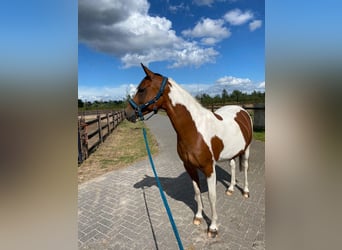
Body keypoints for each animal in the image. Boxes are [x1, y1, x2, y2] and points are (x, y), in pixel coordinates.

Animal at [124, 63, 252, 237]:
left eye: (142, 89)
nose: (127, 113)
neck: (194, 129)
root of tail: (242, 110)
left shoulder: (209, 168)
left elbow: (212, 196)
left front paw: (213, 227)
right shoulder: (189, 166)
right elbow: (197, 192)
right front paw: (198, 217)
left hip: (246, 150)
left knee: (244, 168)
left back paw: (245, 191)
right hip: (231, 152)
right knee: (232, 166)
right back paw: (231, 189)